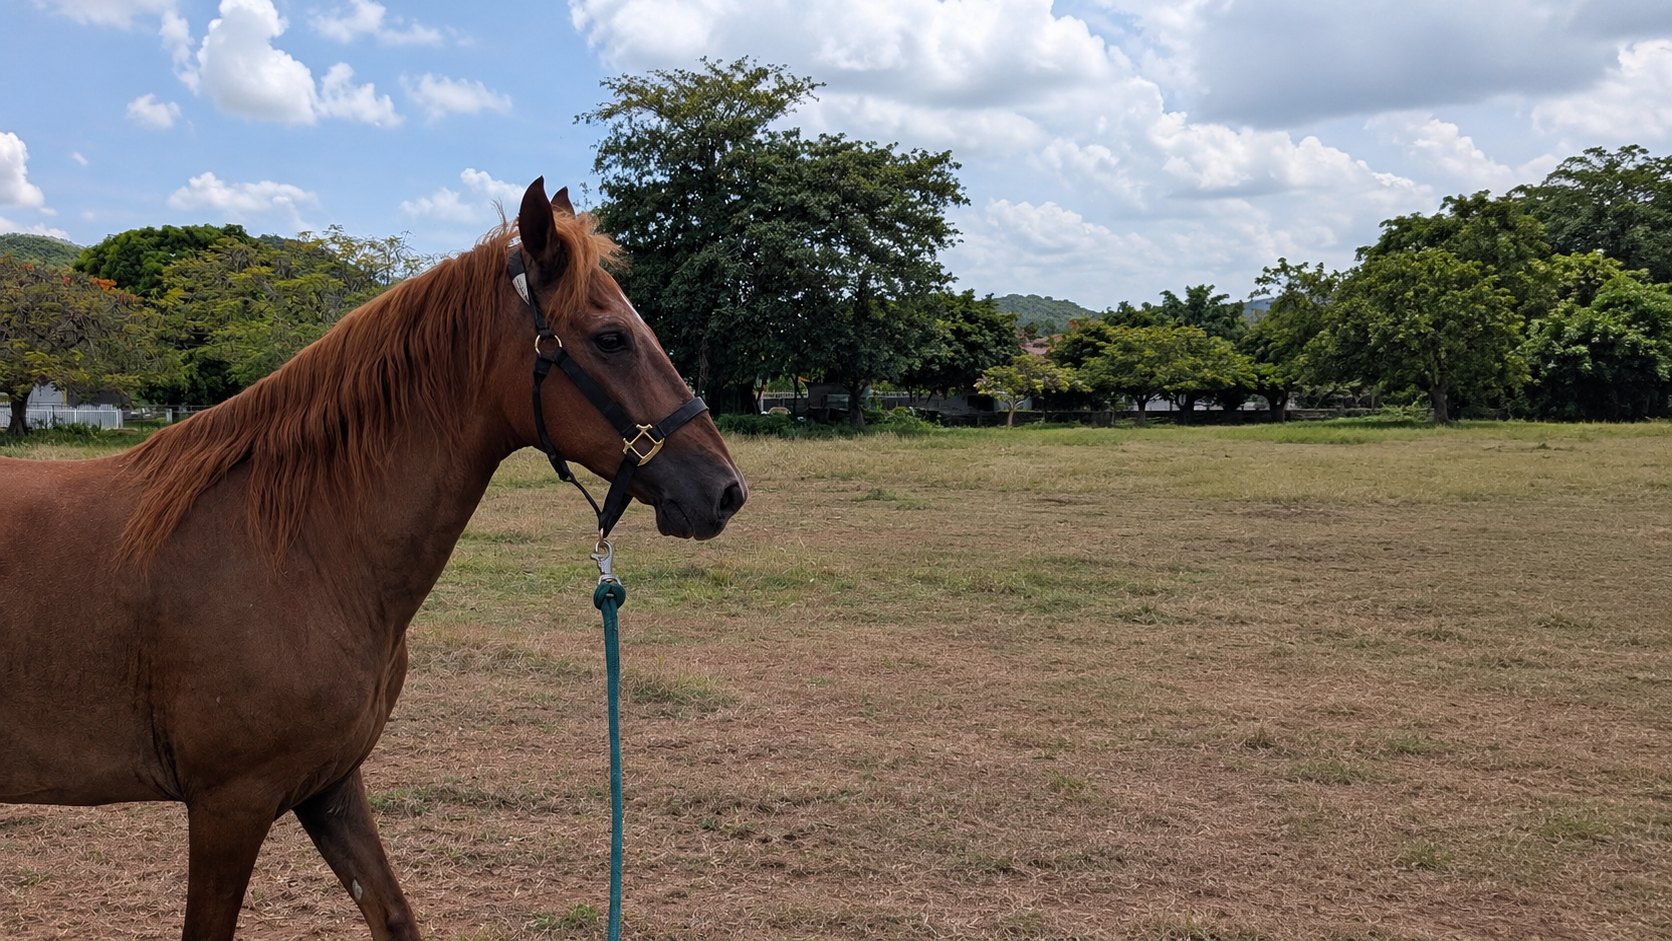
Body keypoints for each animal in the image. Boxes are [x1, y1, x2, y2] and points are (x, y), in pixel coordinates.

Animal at [0, 178, 746, 940]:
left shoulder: (331, 786)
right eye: (611, 337)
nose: (725, 491)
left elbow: (393, 915)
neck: (293, 548)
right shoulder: (229, 805)